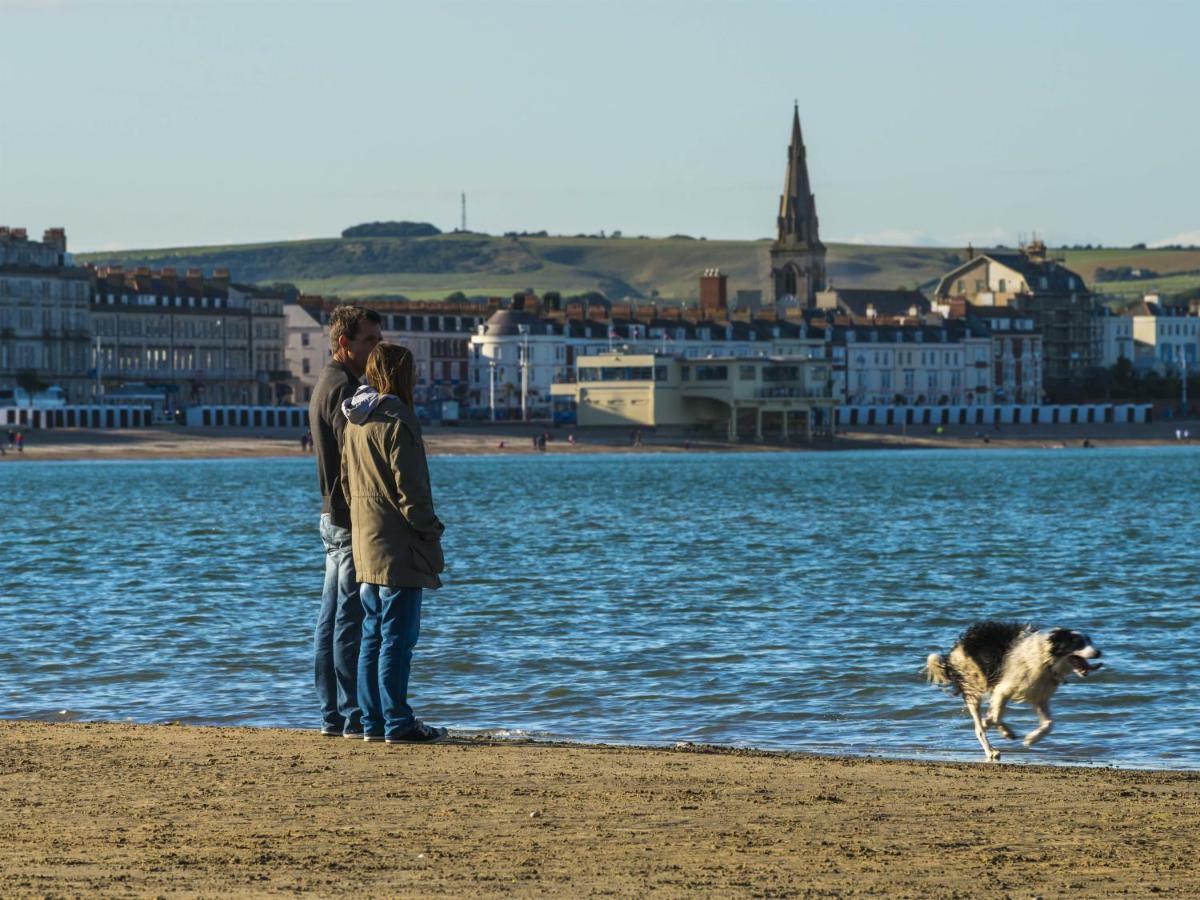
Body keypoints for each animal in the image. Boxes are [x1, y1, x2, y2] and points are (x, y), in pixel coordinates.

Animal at [926, 624, 1104, 763]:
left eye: (1090, 640)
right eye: (1078, 643)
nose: (1098, 653)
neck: (1046, 658)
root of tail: (956, 647)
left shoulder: (1039, 696)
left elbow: (1049, 723)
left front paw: (1031, 738)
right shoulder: (1003, 689)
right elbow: (995, 717)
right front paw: (1002, 729)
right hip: (973, 683)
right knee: (978, 728)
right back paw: (991, 747)